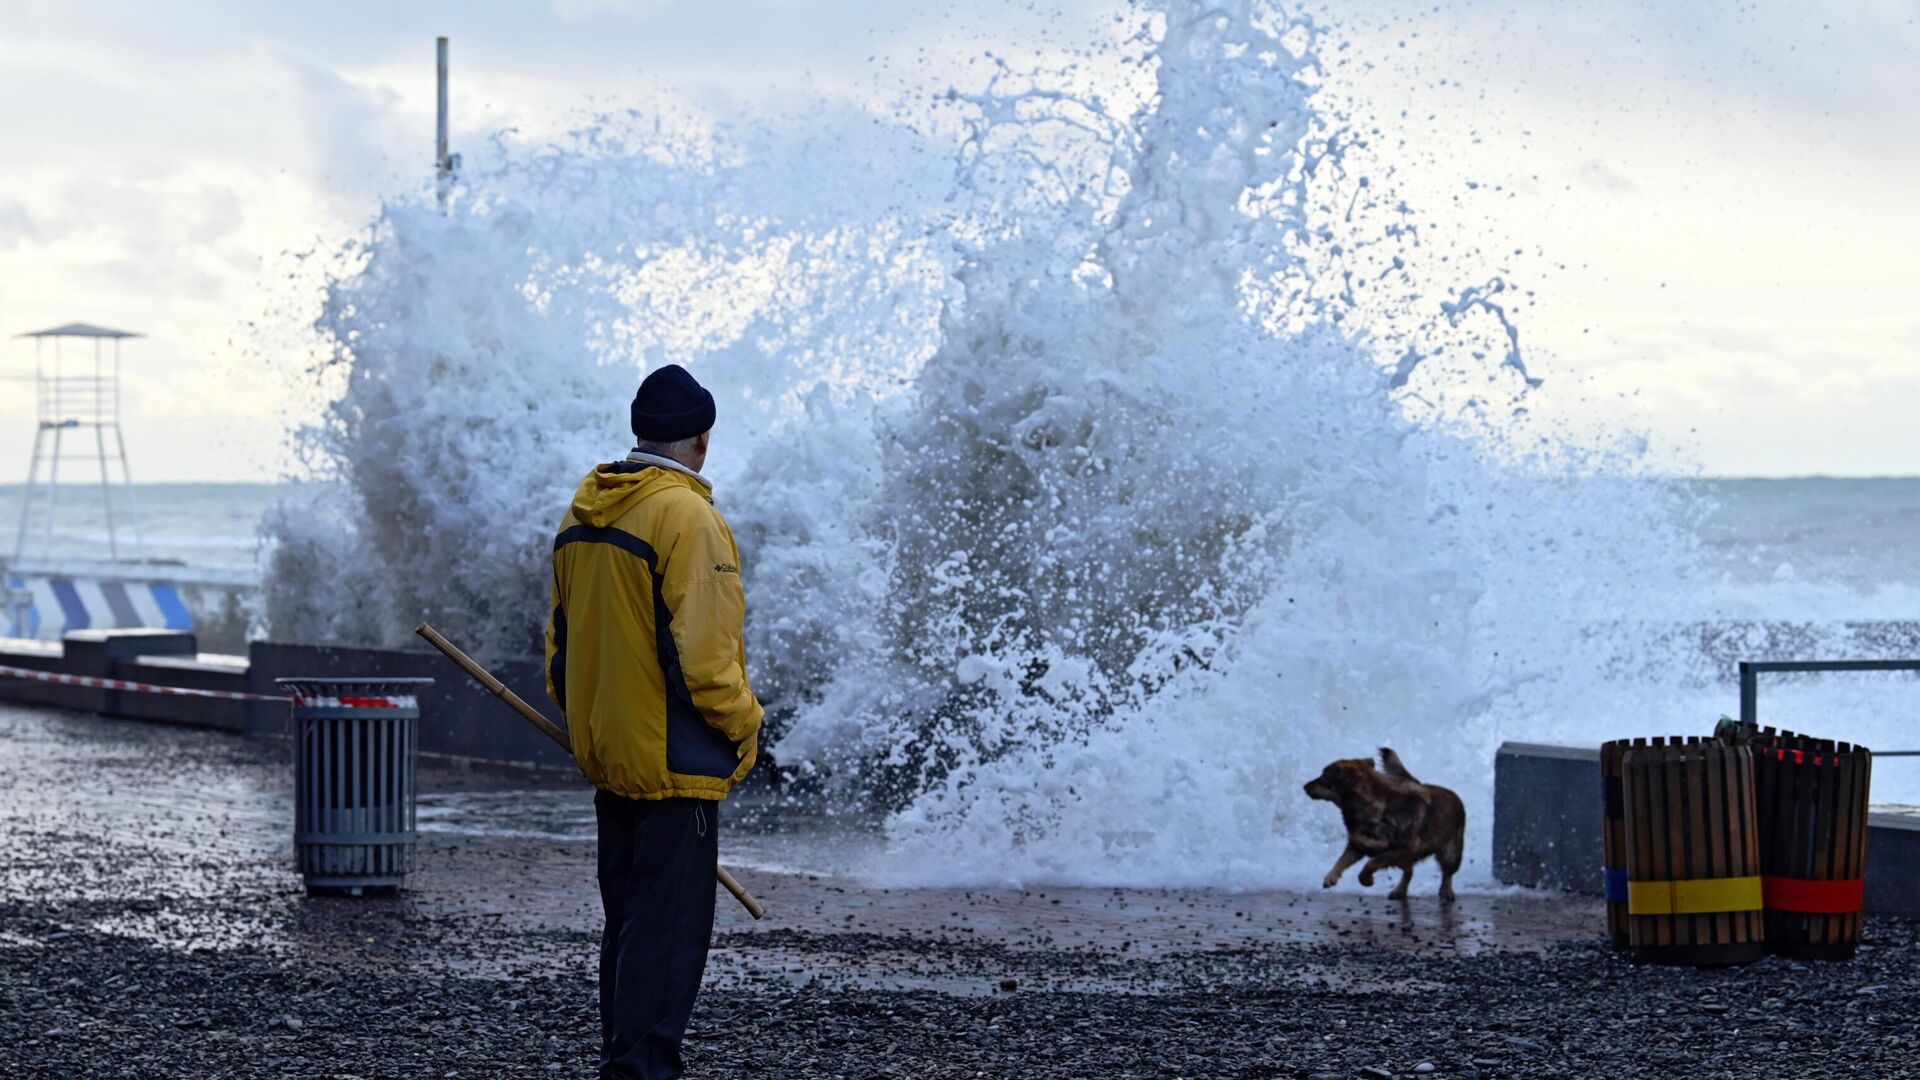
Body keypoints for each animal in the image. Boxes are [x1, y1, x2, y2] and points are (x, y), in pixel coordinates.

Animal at [1305, 737, 1466, 899]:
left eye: (1323, 778)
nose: (1304, 786)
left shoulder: (1403, 848)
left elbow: (1372, 863)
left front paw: (1366, 879)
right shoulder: (1358, 845)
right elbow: (1344, 857)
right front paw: (1331, 876)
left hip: (1451, 852)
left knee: (1447, 872)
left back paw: (1446, 890)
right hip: (1409, 858)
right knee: (1409, 872)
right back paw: (1399, 890)